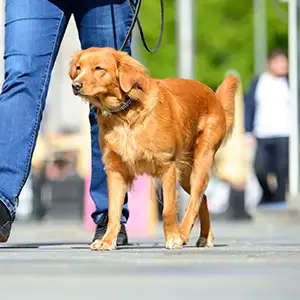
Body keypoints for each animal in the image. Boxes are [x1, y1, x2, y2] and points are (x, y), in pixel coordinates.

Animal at [68, 47, 239, 251]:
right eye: (79, 68)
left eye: (99, 68)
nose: (75, 85)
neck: (126, 113)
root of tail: (213, 95)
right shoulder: (115, 170)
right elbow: (114, 212)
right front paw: (107, 241)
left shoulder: (167, 166)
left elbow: (168, 210)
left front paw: (173, 237)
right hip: (185, 173)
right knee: (202, 199)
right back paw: (205, 237)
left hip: (201, 161)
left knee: (194, 201)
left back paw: (183, 234)